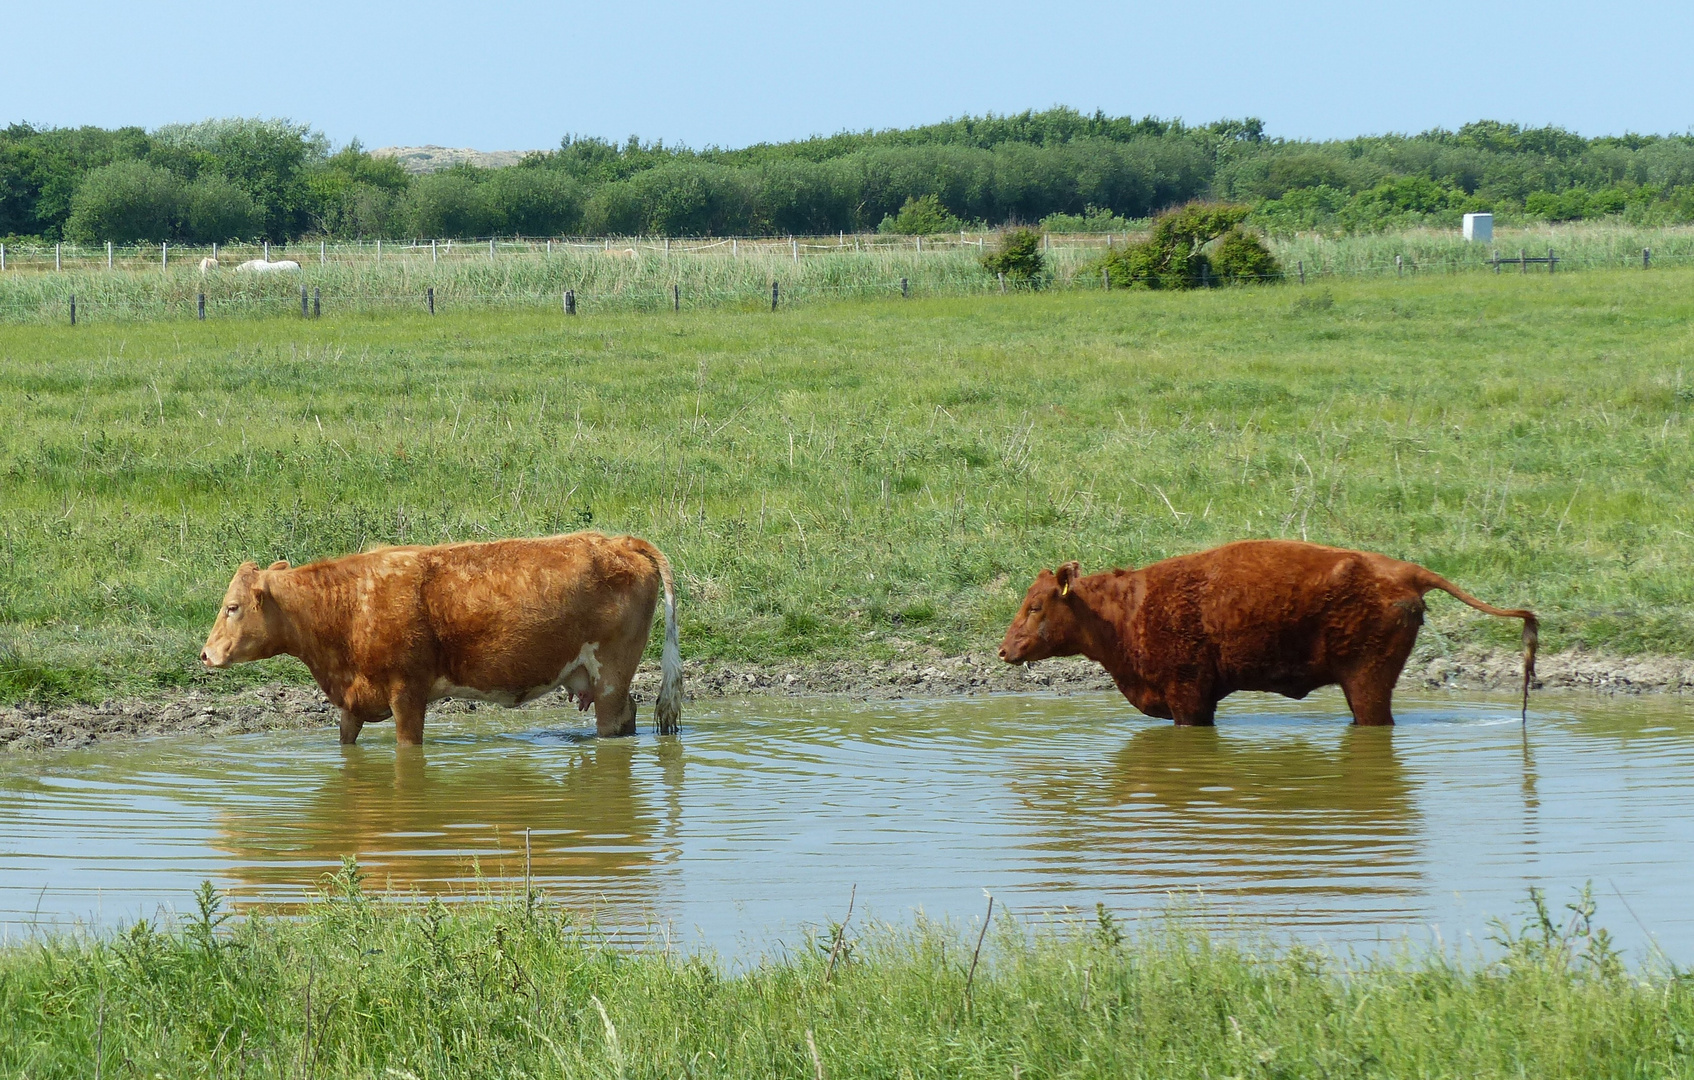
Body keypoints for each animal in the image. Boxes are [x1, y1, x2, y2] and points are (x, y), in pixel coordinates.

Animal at [198, 534, 674, 744]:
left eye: (232, 607)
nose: (205, 654)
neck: (350, 604)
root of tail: (620, 540)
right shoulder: (353, 701)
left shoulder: (407, 694)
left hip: (611, 675)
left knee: (614, 721)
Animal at [996, 541, 1544, 727]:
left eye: (1036, 604)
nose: (1003, 649)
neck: (1127, 608)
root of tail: (1404, 571)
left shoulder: (1189, 699)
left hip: (1366, 684)